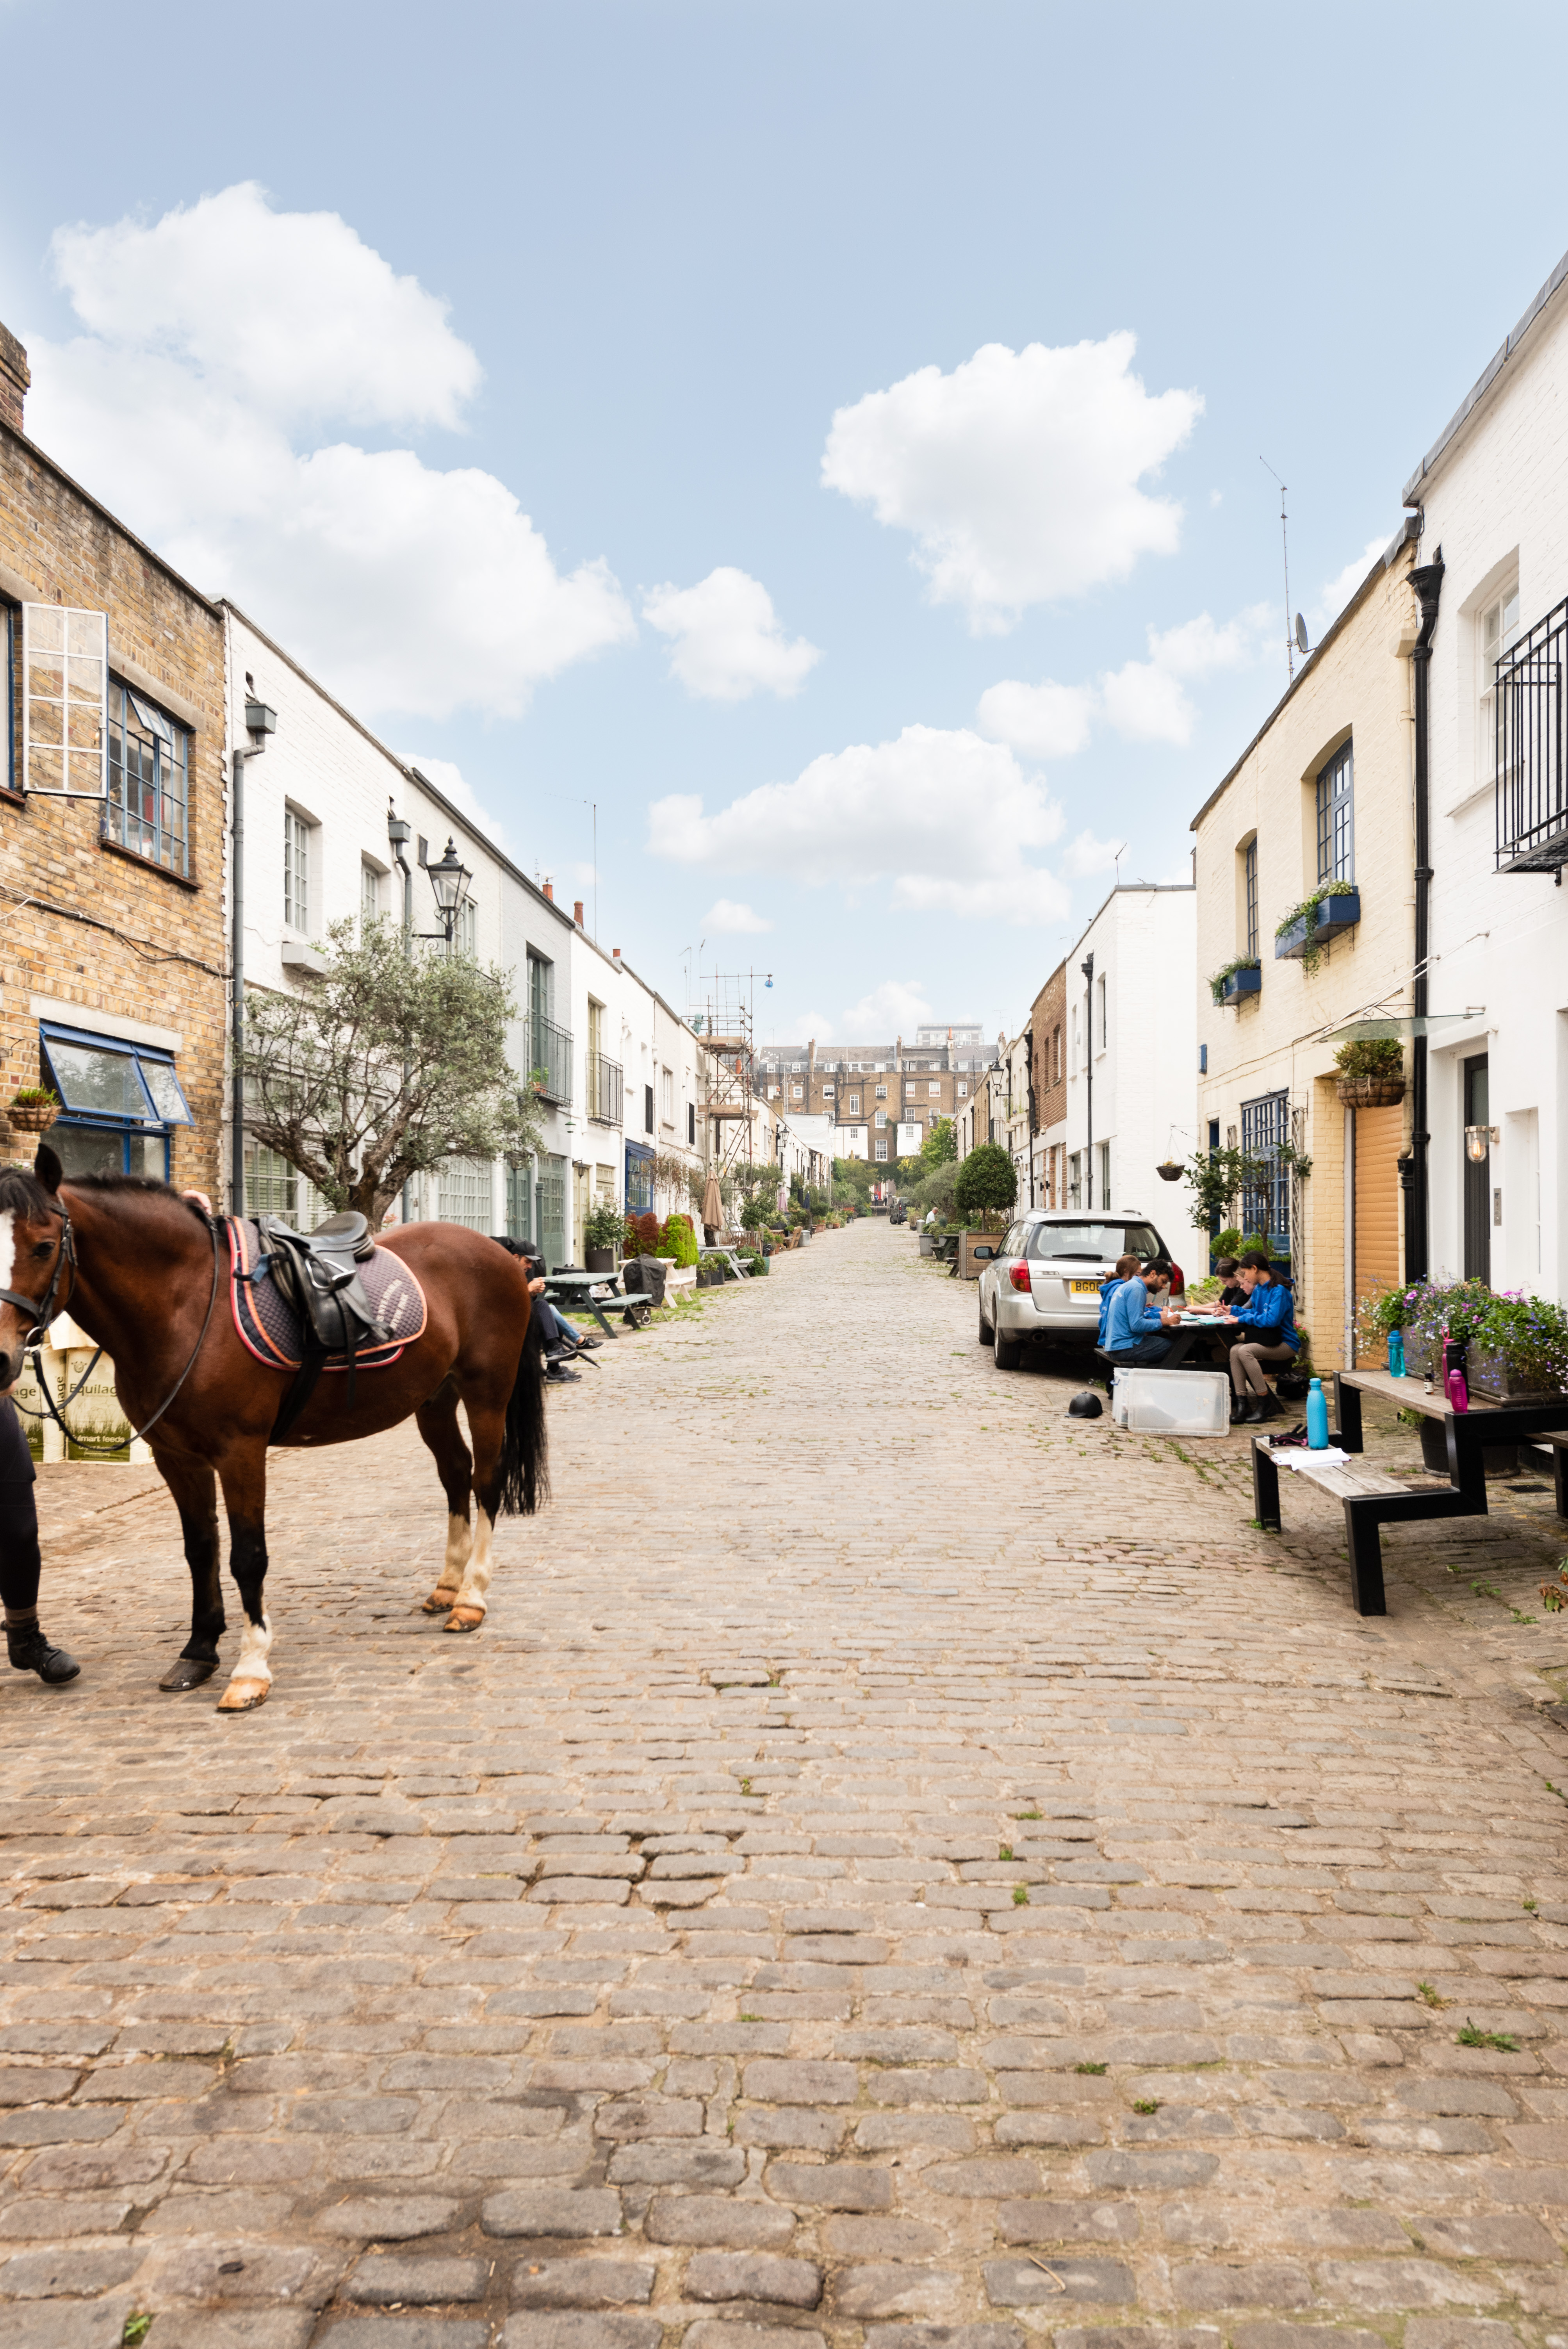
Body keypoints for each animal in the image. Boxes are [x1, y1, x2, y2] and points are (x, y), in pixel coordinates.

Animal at [0, 1151, 544, 1719]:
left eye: (43, 1246)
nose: (2, 1357)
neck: (186, 1304)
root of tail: (502, 1255)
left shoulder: (240, 1452)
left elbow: (247, 1557)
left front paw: (250, 1669)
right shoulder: (178, 1457)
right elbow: (201, 1549)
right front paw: (198, 1653)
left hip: (487, 1394)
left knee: (486, 1482)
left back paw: (471, 1600)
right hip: (435, 1401)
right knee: (456, 1475)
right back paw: (447, 1586)